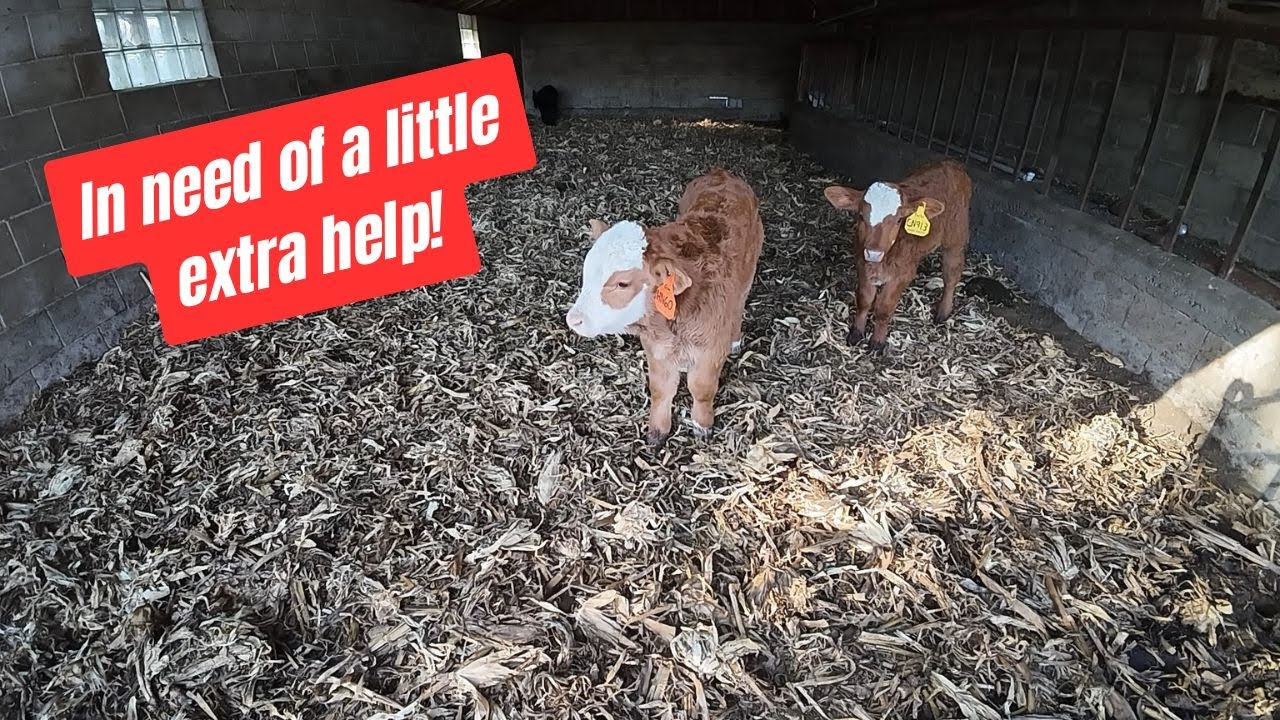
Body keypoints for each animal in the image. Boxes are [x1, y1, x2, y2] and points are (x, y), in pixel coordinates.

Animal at [565, 168, 764, 446]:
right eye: (586, 273)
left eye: (622, 283)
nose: (574, 319)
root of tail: (722, 174)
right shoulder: (655, 348)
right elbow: (661, 388)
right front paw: (657, 431)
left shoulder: (711, 350)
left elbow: (701, 388)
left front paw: (702, 425)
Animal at [823, 159, 972, 352]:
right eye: (861, 216)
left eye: (899, 220)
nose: (874, 252)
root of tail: (952, 163)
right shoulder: (863, 264)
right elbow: (864, 300)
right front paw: (856, 334)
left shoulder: (902, 274)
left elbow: (883, 308)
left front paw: (877, 342)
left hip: (956, 237)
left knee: (951, 274)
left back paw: (943, 311)